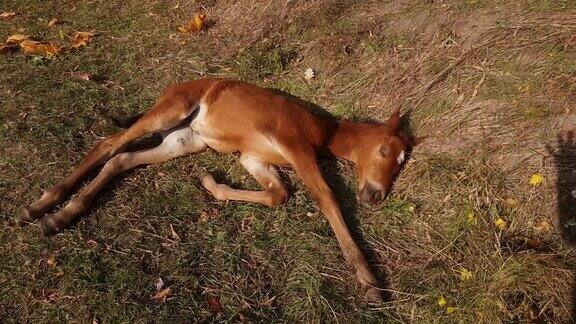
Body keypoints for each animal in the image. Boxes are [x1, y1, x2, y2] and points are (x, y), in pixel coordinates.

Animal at [18, 77, 414, 302]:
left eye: (402, 163)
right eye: (384, 152)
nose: (375, 196)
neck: (322, 130)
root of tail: (176, 86)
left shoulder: (252, 159)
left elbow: (278, 194)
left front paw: (210, 183)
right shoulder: (296, 146)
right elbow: (327, 198)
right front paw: (369, 282)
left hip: (184, 139)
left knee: (122, 158)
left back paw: (60, 216)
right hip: (171, 111)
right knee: (109, 144)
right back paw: (41, 206)